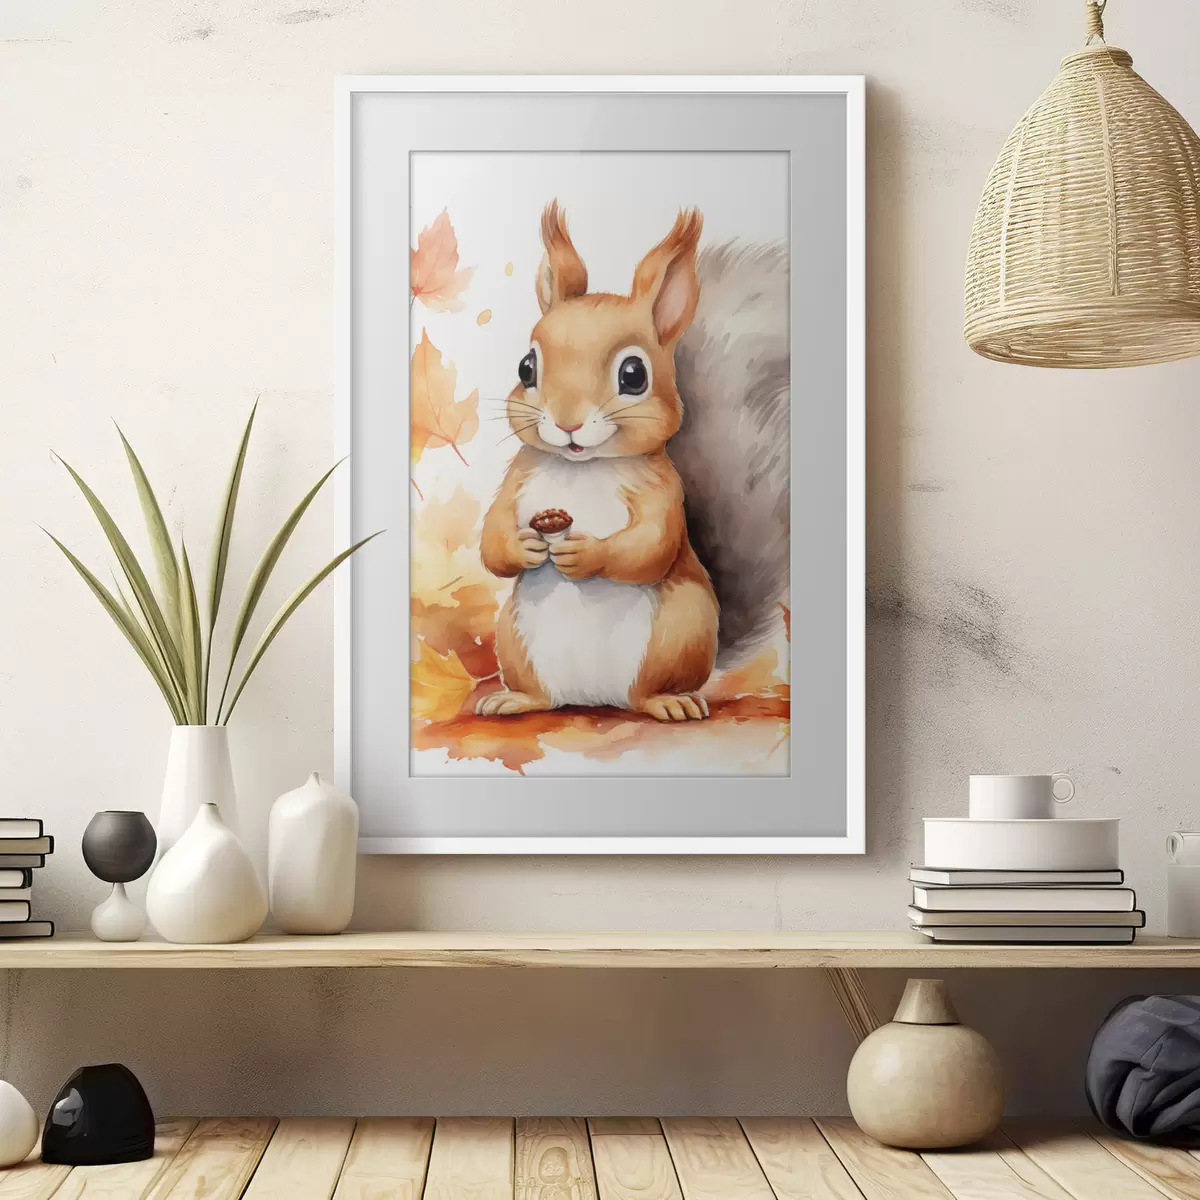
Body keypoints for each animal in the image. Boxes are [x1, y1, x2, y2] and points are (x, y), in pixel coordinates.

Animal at [479, 201, 789, 722]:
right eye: (526, 367)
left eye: (633, 374)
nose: (566, 422)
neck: (581, 466)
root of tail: (594, 699)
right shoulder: (515, 481)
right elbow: (493, 540)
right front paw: (524, 546)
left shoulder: (664, 491)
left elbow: (650, 545)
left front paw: (587, 554)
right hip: (514, 639)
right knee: (542, 695)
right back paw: (514, 699)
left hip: (679, 630)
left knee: (649, 692)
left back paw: (671, 702)